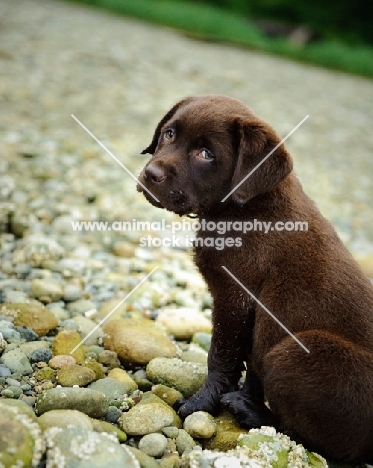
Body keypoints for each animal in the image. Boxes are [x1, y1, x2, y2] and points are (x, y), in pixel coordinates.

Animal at [136, 95, 372, 464]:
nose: (151, 173)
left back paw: (251, 413)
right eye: (169, 133)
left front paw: (201, 404)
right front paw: (235, 395)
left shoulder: (235, 297)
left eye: (207, 154)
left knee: (322, 442)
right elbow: (246, 363)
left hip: (296, 351)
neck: (243, 208)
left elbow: (221, 355)